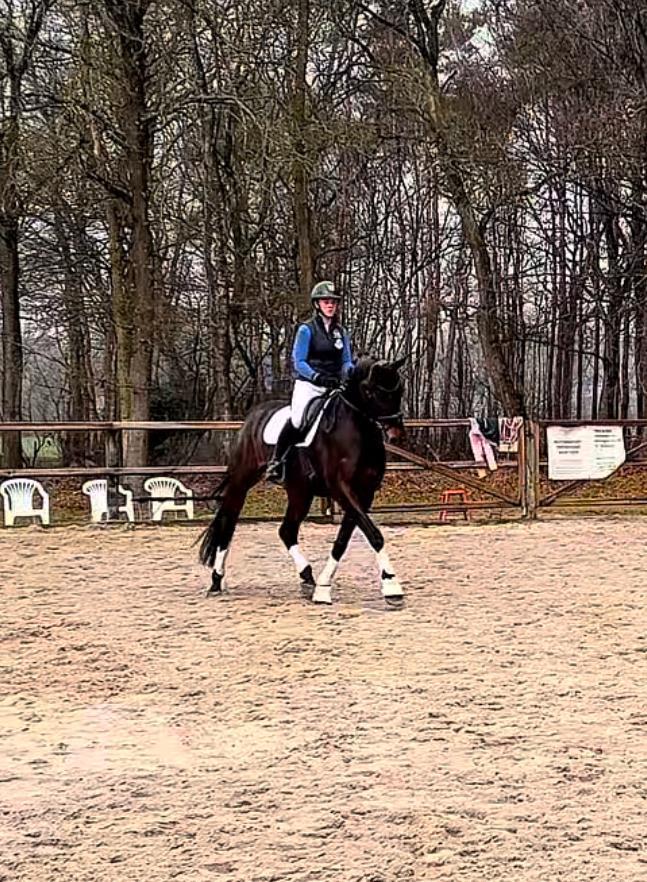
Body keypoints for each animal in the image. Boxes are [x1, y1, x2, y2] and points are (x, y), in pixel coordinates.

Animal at [198, 355, 406, 605]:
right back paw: (216, 580)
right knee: (228, 524)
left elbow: (343, 540)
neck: (357, 433)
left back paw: (308, 578)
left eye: (399, 390)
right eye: (373, 391)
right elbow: (374, 535)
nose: (396, 434)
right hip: (242, 482)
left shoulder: (364, 494)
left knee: (286, 531)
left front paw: (323, 588)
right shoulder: (342, 489)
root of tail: (251, 418)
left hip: (300, 492)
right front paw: (392, 585)